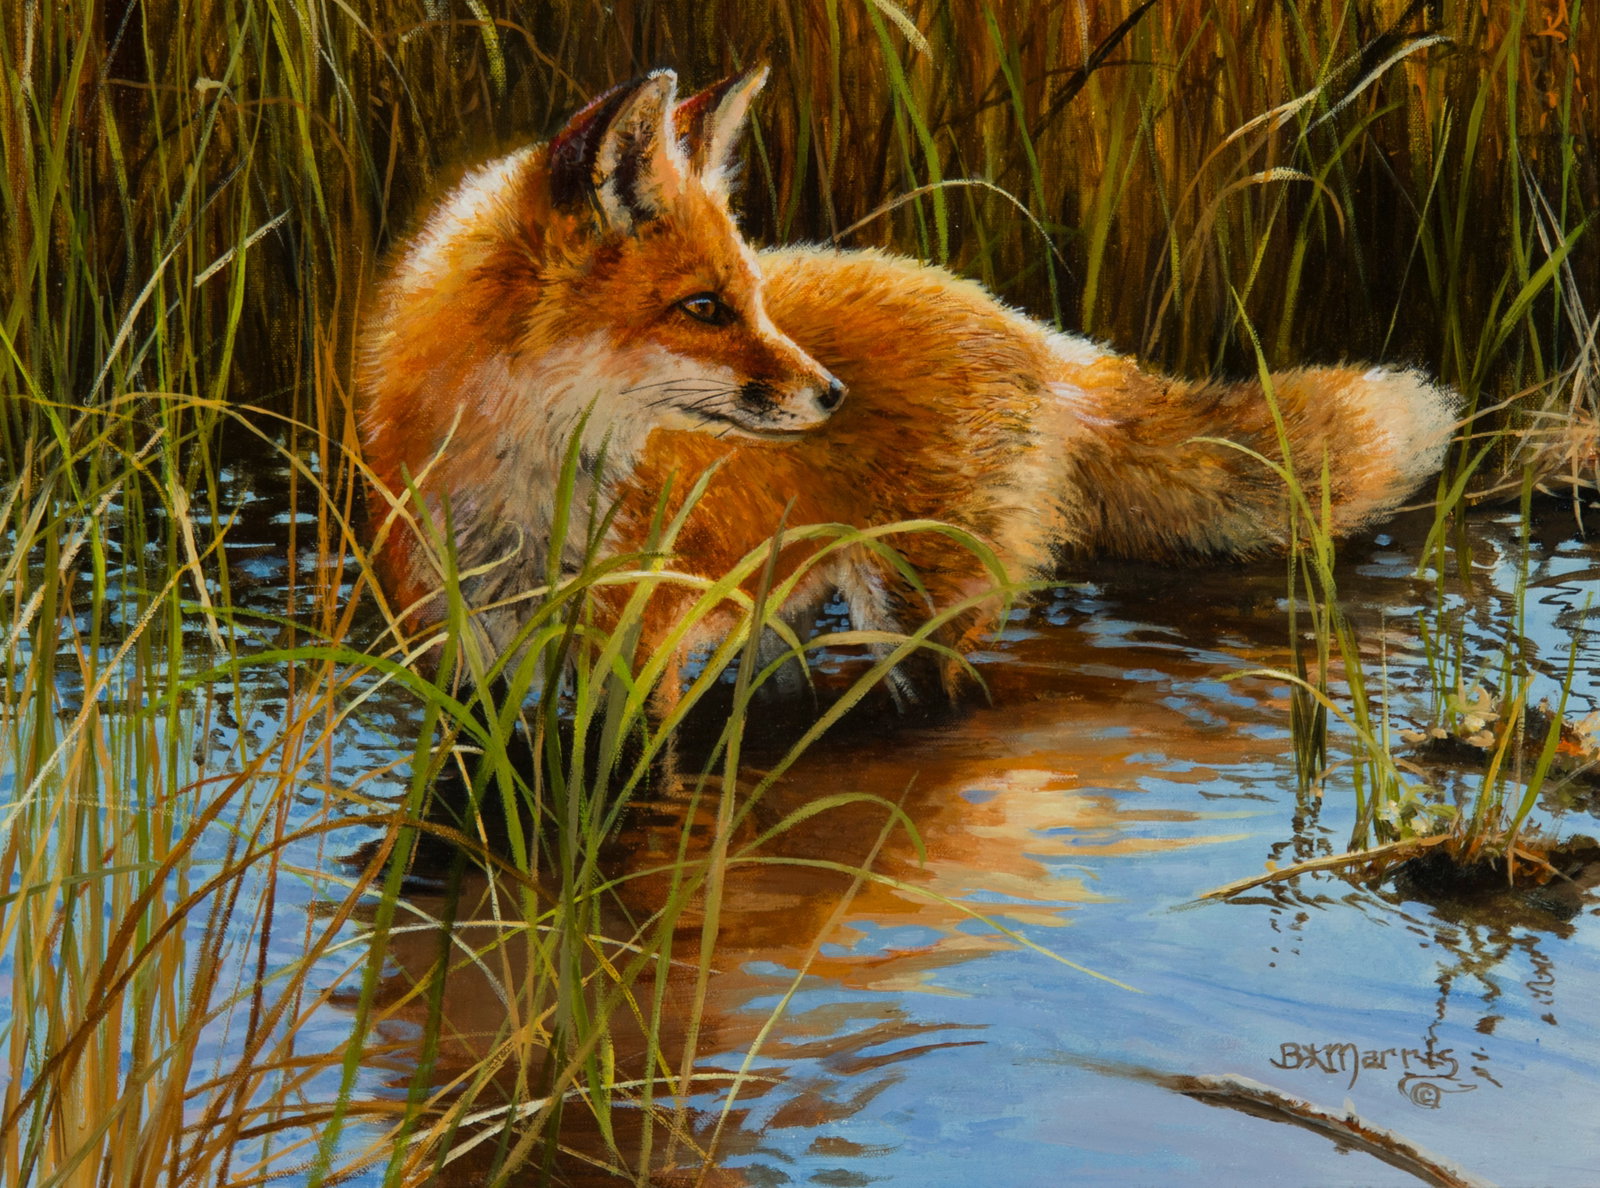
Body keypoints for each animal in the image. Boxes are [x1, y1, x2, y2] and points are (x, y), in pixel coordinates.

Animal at [357, 67, 1457, 691]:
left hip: (915, 621)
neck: (523, 511)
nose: (833, 397)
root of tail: (1037, 336)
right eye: (705, 309)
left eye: (753, 299)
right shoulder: (464, 670)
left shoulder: (641, 660)